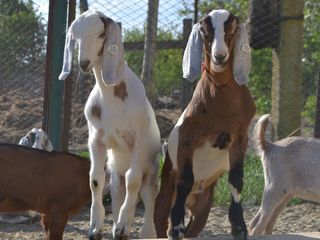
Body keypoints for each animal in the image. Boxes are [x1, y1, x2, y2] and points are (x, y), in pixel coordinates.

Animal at [58, 9, 160, 240]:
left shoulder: (139, 140)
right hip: (115, 180)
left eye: (101, 34)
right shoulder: (95, 139)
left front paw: (122, 226)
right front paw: (96, 228)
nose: (84, 63)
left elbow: (133, 180)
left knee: (148, 199)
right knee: (118, 192)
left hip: (151, 173)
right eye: (75, 36)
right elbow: (95, 180)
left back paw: (143, 231)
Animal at [154, 9, 256, 240]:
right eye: (204, 31)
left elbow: (236, 179)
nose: (220, 56)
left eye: (233, 30)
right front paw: (176, 226)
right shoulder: (187, 138)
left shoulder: (240, 137)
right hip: (162, 199)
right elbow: (185, 180)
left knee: (194, 229)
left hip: (203, 210)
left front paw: (239, 227)